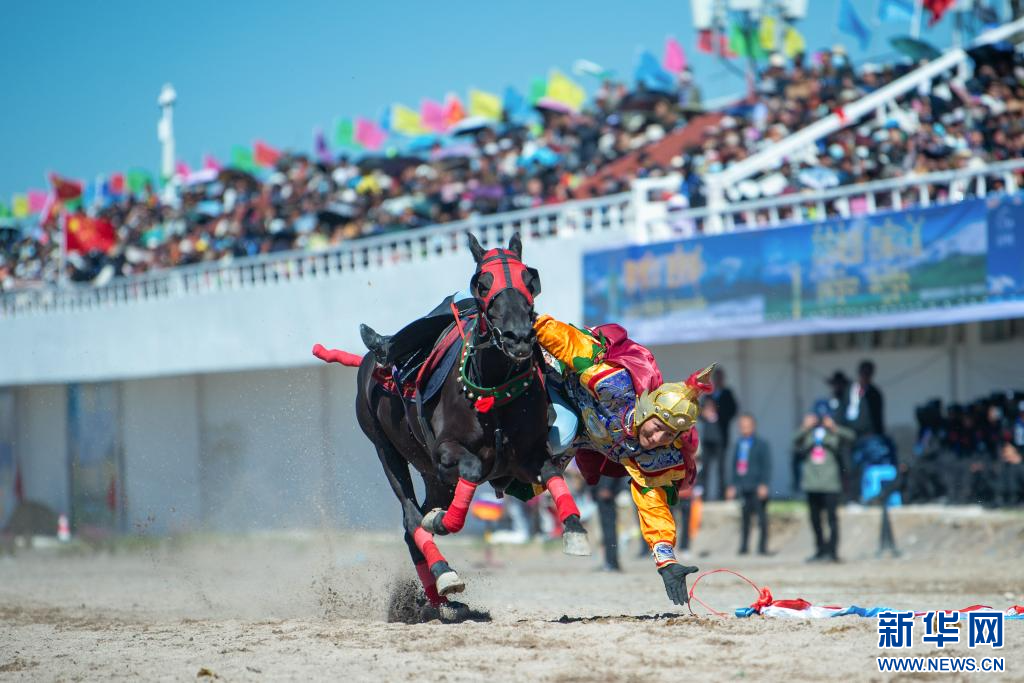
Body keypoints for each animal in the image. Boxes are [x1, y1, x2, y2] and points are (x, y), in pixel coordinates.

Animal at [315, 233, 589, 618]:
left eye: (529, 279)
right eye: (482, 283)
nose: (518, 336)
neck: (493, 389)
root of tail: (367, 362)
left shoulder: (525, 457)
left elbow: (551, 471)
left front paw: (575, 529)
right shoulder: (446, 454)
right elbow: (469, 471)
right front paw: (443, 521)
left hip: (433, 476)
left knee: (415, 523)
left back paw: (438, 599)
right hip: (386, 449)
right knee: (410, 519)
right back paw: (443, 575)